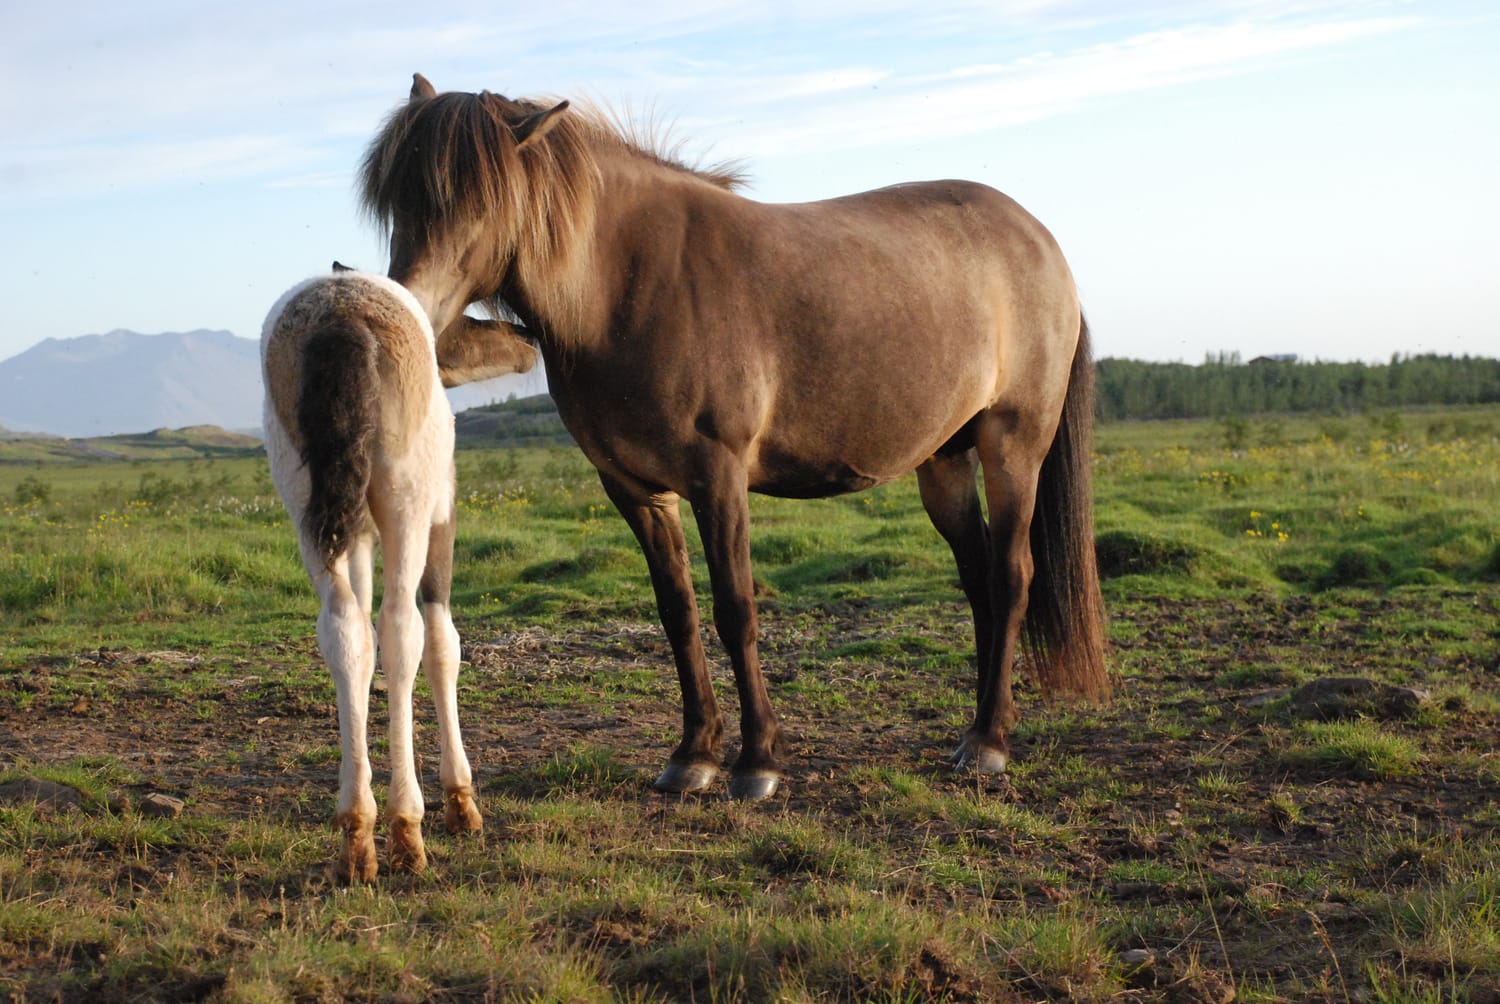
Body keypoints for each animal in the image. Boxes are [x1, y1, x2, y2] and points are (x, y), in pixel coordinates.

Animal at [261, 265, 535, 881]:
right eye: (469, 319)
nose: (527, 339)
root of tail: (341, 319)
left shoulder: (357, 537)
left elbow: (358, 649)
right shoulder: (442, 517)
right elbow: (441, 642)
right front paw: (460, 800)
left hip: (305, 505)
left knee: (345, 630)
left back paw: (356, 835)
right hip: (406, 502)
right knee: (400, 628)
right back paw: (406, 827)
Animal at [361, 74, 1108, 800]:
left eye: (477, 203)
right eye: (398, 202)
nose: (400, 314)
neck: (631, 283)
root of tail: (1041, 243)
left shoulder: (718, 477)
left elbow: (735, 610)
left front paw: (757, 762)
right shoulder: (635, 489)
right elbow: (679, 613)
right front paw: (693, 756)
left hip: (1014, 448)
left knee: (1010, 577)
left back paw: (990, 742)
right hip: (944, 460)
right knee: (978, 578)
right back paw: (976, 727)